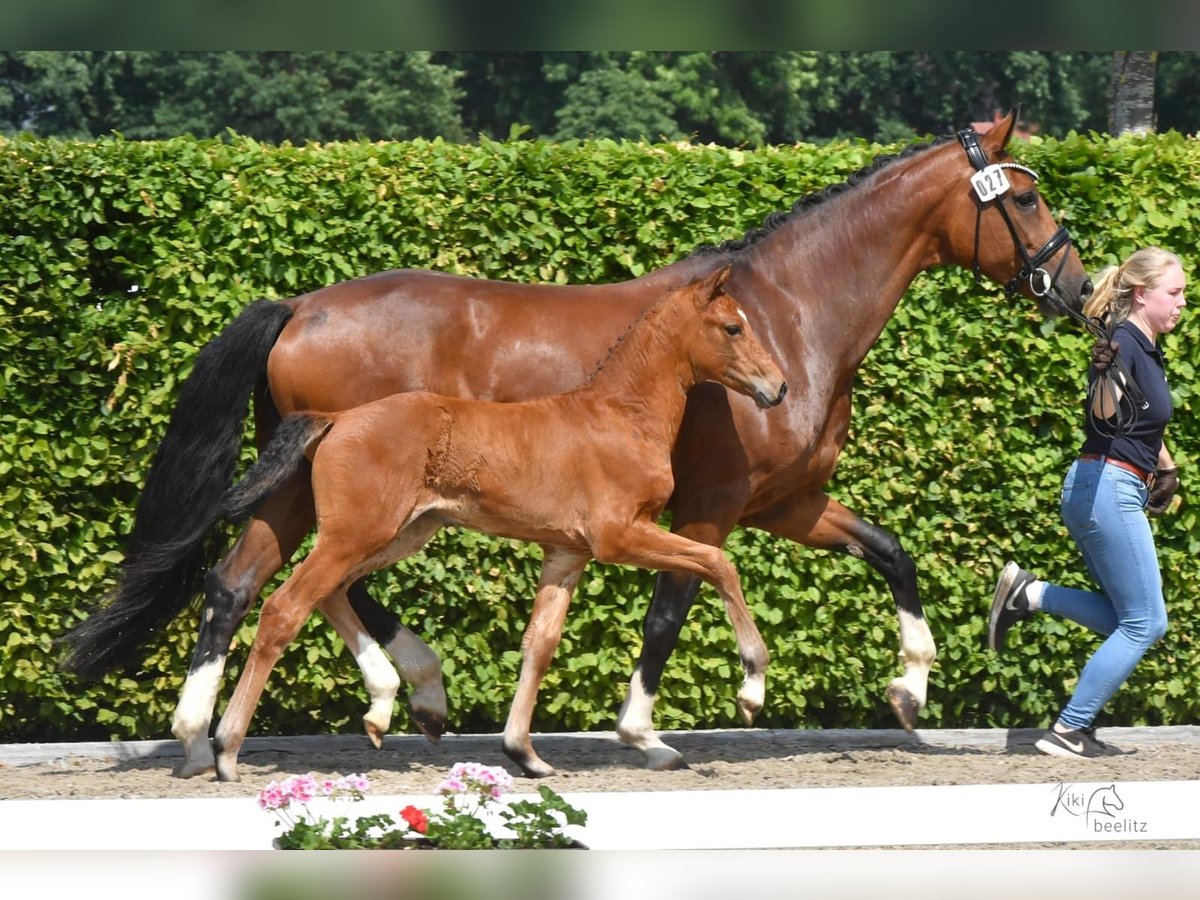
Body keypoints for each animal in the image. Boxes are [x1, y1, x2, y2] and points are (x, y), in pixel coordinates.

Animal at [206, 267, 787, 782]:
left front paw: (525, 755)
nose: (778, 387)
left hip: (398, 532)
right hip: (356, 534)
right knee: (285, 607)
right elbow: (718, 563)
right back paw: (226, 749)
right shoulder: (619, 535)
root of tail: (337, 420)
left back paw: (383, 709)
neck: (620, 415)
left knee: (331, 593)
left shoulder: (567, 552)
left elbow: (540, 643)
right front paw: (752, 687)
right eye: (733, 327)